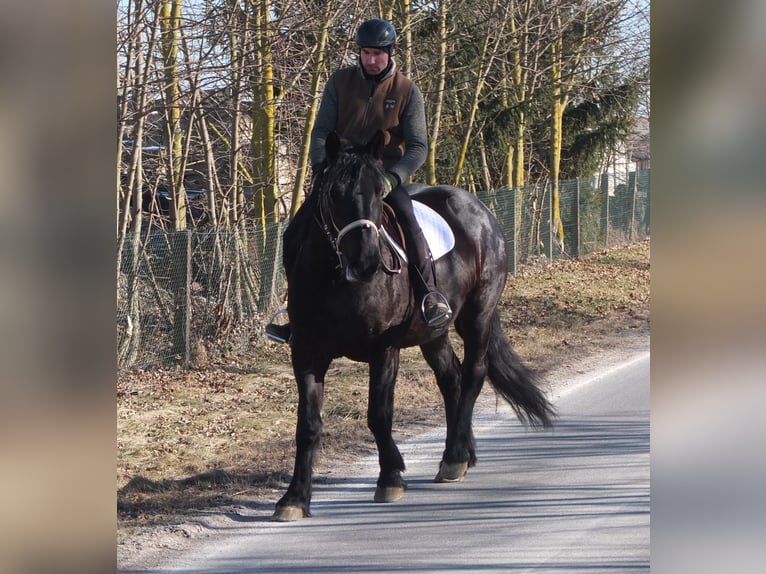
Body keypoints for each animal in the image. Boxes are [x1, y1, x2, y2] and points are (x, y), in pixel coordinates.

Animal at [272, 130, 556, 520]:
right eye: (333, 193)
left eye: (379, 191)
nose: (367, 262)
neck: (338, 281)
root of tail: (479, 210)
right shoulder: (306, 354)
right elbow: (308, 425)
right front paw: (295, 497)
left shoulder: (383, 348)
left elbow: (379, 415)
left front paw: (391, 477)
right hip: (433, 334)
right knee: (451, 379)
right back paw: (463, 453)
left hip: (477, 315)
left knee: (473, 374)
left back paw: (454, 457)